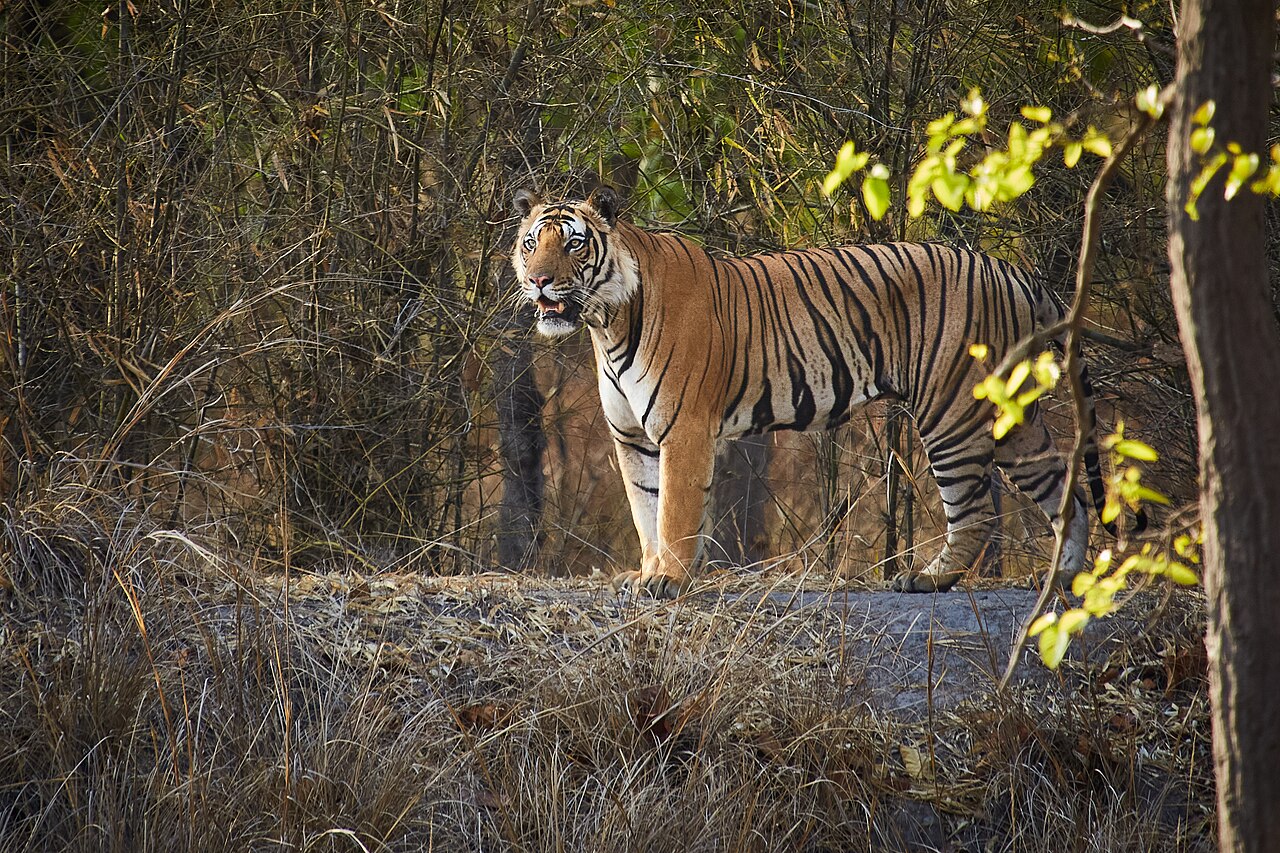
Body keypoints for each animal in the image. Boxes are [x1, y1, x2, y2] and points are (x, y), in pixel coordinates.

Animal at [511, 186, 1116, 598]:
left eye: (574, 244)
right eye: (531, 243)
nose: (539, 280)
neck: (607, 321)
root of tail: (1008, 269)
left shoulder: (683, 430)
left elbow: (675, 512)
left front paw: (671, 581)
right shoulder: (632, 438)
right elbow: (645, 510)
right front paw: (649, 572)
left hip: (951, 409)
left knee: (976, 510)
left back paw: (928, 579)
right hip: (1010, 413)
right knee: (1062, 483)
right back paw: (1062, 577)